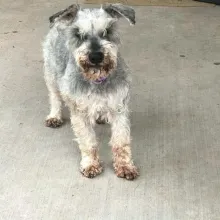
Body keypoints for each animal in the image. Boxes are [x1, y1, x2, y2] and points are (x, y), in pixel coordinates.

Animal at [43, 3, 138, 180]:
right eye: (78, 34)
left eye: (107, 31)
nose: (95, 56)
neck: (97, 80)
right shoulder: (80, 114)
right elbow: (88, 141)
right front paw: (91, 164)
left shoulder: (119, 109)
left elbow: (121, 141)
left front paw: (125, 166)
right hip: (51, 75)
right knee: (55, 97)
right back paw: (54, 116)